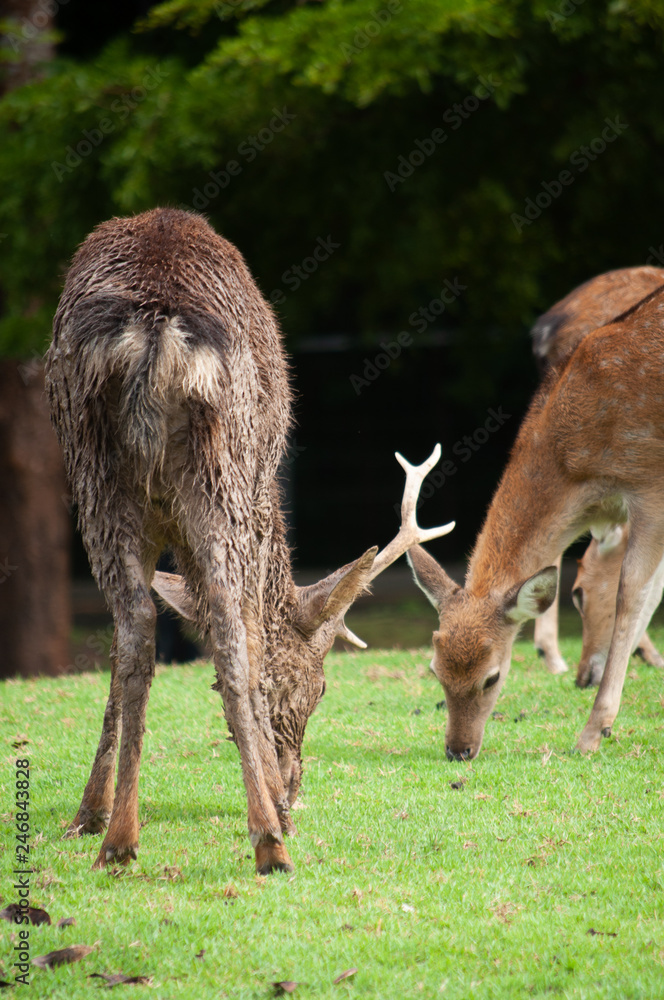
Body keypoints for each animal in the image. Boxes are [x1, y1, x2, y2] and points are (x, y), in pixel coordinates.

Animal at [45, 207, 453, 875]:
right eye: (322, 687)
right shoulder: (259, 491)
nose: (295, 783)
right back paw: (269, 838)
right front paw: (277, 805)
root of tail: (155, 336)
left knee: (134, 632)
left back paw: (118, 838)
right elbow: (250, 643)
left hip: (96, 481)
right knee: (234, 631)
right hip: (225, 476)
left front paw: (88, 814)